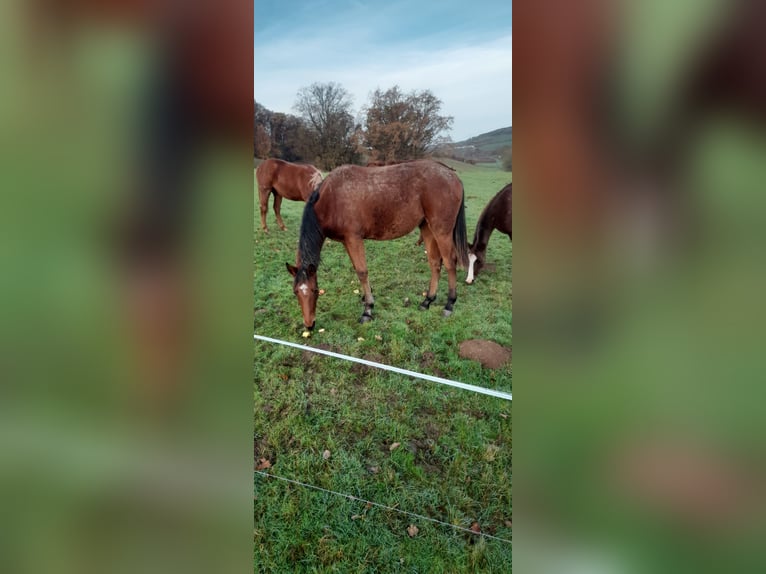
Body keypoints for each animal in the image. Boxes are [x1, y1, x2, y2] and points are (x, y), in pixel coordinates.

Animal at [285, 160, 469, 329]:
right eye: (295, 292)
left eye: (315, 291)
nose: (309, 325)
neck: (332, 198)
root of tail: (452, 175)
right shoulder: (346, 241)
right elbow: (357, 269)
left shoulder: (354, 239)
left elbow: (362, 272)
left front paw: (368, 310)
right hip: (427, 228)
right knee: (435, 263)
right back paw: (427, 301)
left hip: (441, 231)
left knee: (449, 262)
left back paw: (449, 304)